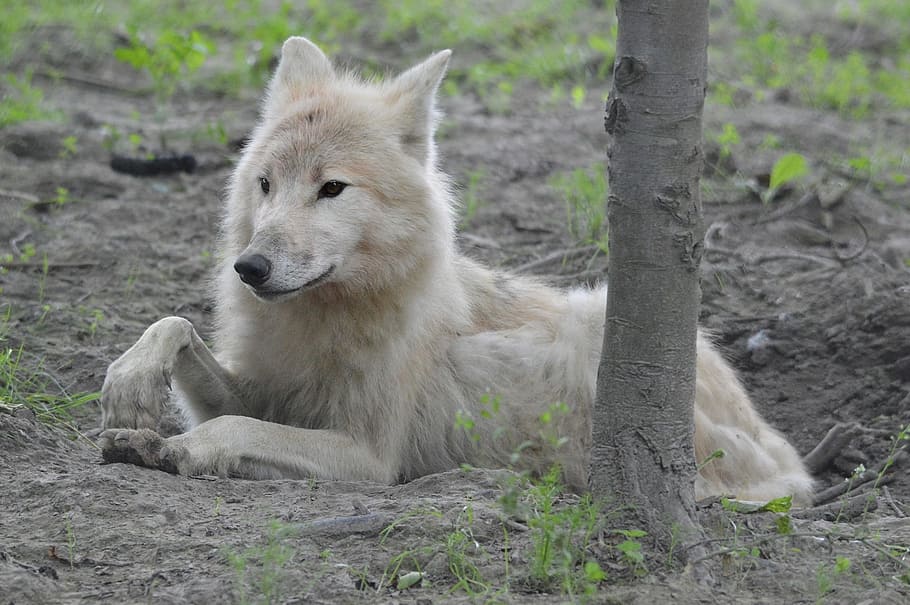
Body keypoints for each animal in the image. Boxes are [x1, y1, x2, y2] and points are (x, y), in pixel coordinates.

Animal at [99, 37, 814, 505]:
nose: (250, 267)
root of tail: (789, 455)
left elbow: (231, 428)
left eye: (331, 188)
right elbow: (176, 325)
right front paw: (130, 389)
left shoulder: (370, 457)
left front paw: (174, 448)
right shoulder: (264, 390)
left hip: (596, 317)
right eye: (266, 185)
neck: (330, 315)